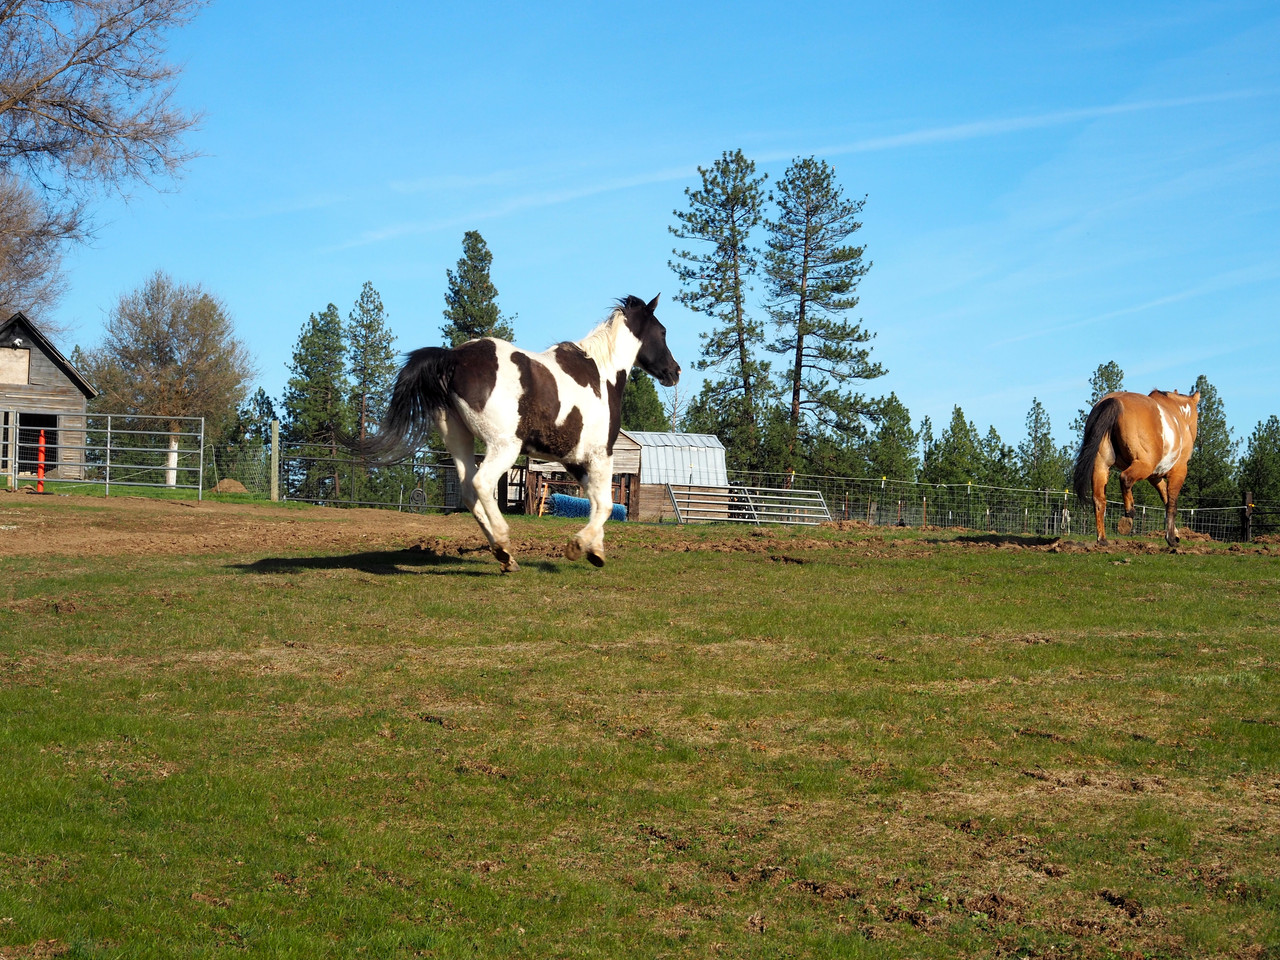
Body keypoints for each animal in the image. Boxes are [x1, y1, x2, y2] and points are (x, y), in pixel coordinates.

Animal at [360, 295, 680, 572]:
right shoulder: (601, 455)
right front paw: (580, 547)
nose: (675, 372)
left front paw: (596, 550)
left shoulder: (575, 460)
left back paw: (506, 557)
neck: (603, 374)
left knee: (468, 490)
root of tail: (452, 358)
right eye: (663, 332)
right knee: (482, 484)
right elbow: (606, 504)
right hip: (504, 446)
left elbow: (595, 501)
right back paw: (503, 543)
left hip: (460, 441)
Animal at [1072, 388, 1199, 548]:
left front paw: (1175, 534)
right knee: (1125, 478)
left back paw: (1102, 539)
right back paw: (1129, 512)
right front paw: (1171, 538)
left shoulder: (1154, 477)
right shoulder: (1178, 472)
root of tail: (1115, 401)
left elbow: (1165, 498)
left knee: (1099, 499)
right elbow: (1172, 504)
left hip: (1101, 465)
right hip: (1143, 465)